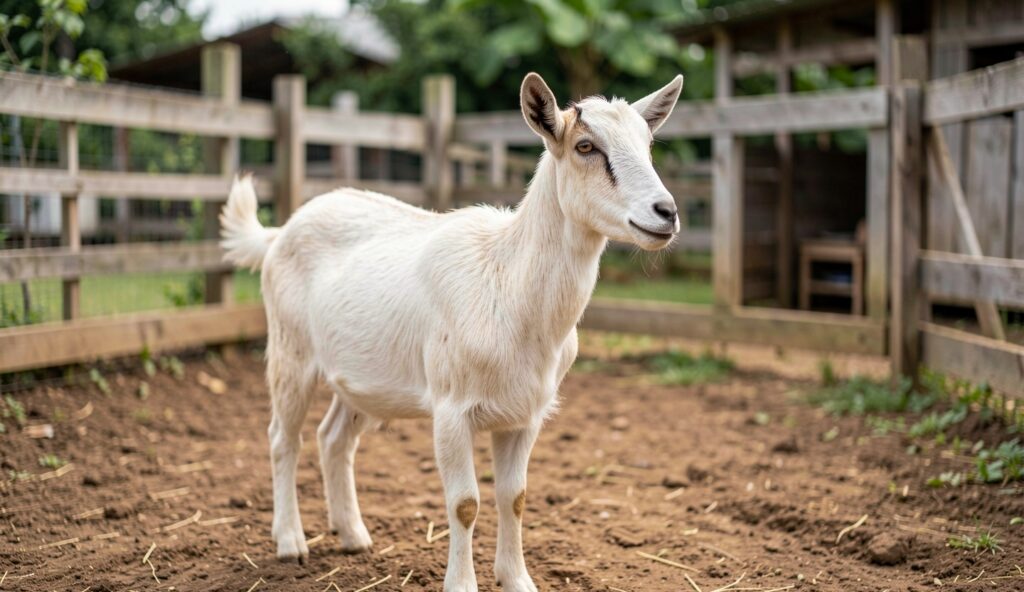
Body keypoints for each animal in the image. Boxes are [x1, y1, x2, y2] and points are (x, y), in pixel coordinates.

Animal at [220, 72, 683, 591]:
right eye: (586, 146)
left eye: (648, 144)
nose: (665, 212)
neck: (507, 283)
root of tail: (279, 232)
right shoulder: (450, 409)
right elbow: (465, 504)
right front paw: (462, 584)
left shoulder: (526, 415)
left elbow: (515, 496)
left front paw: (517, 580)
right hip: (290, 351)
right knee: (284, 437)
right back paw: (290, 542)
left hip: (361, 378)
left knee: (333, 438)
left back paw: (353, 536)